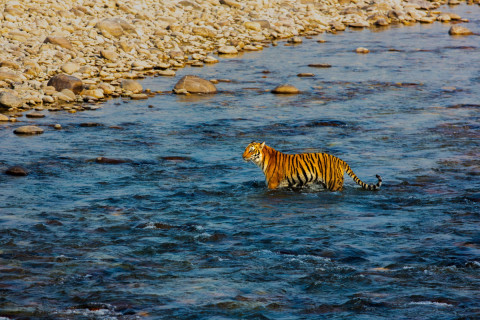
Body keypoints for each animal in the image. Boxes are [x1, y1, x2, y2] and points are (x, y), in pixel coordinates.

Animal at [244, 141, 382, 191]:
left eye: (251, 150)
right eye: (246, 149)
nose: (243, 156)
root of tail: (339, 160)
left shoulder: (272, 184)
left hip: (334, 183)